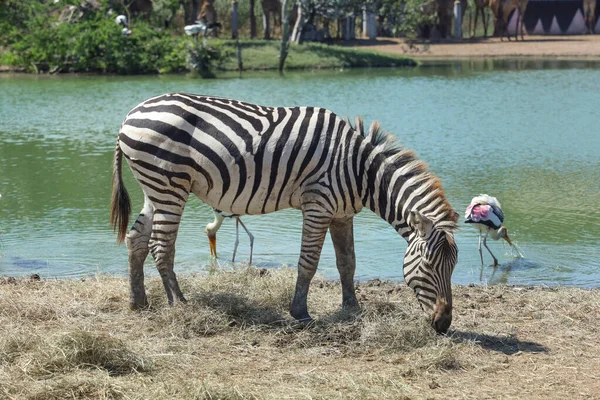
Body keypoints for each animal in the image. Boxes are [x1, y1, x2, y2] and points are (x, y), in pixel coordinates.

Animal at [111, 92, 460, 332]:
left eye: (454, 267)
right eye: (428, 265)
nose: (443, 324)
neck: (361, 172)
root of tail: (130, 114)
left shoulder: (343, 213)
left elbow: (347, 263)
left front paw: (352, 308)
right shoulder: (318, 205)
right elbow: (309, 262)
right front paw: (301, 313)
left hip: (154, 188)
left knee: (136, 239)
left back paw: (138, 302)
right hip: (170, 185)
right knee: (161, 247)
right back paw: (179, 304)